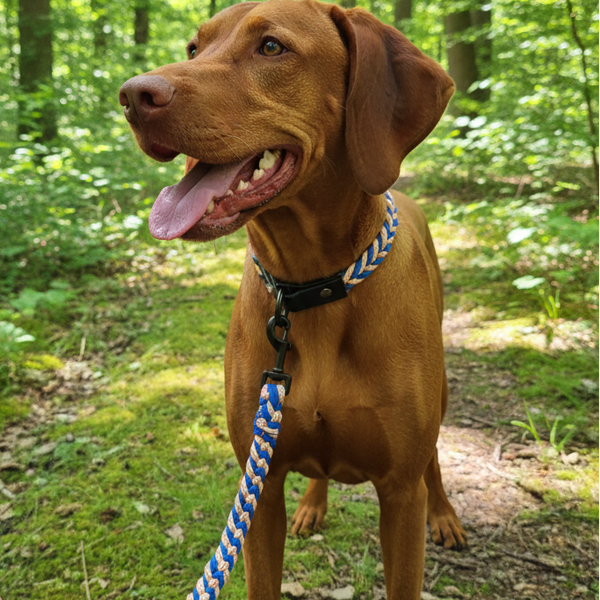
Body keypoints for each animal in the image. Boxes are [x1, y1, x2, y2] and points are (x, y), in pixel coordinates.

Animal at [119, 1, 466, 597]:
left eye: (272, 47)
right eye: (194, 48)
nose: (132, 95)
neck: (310, 285)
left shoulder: (399, 493)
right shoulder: (260, 486)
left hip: (438, 400)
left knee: (435, 459)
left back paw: (443, 513)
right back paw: (314, 504)